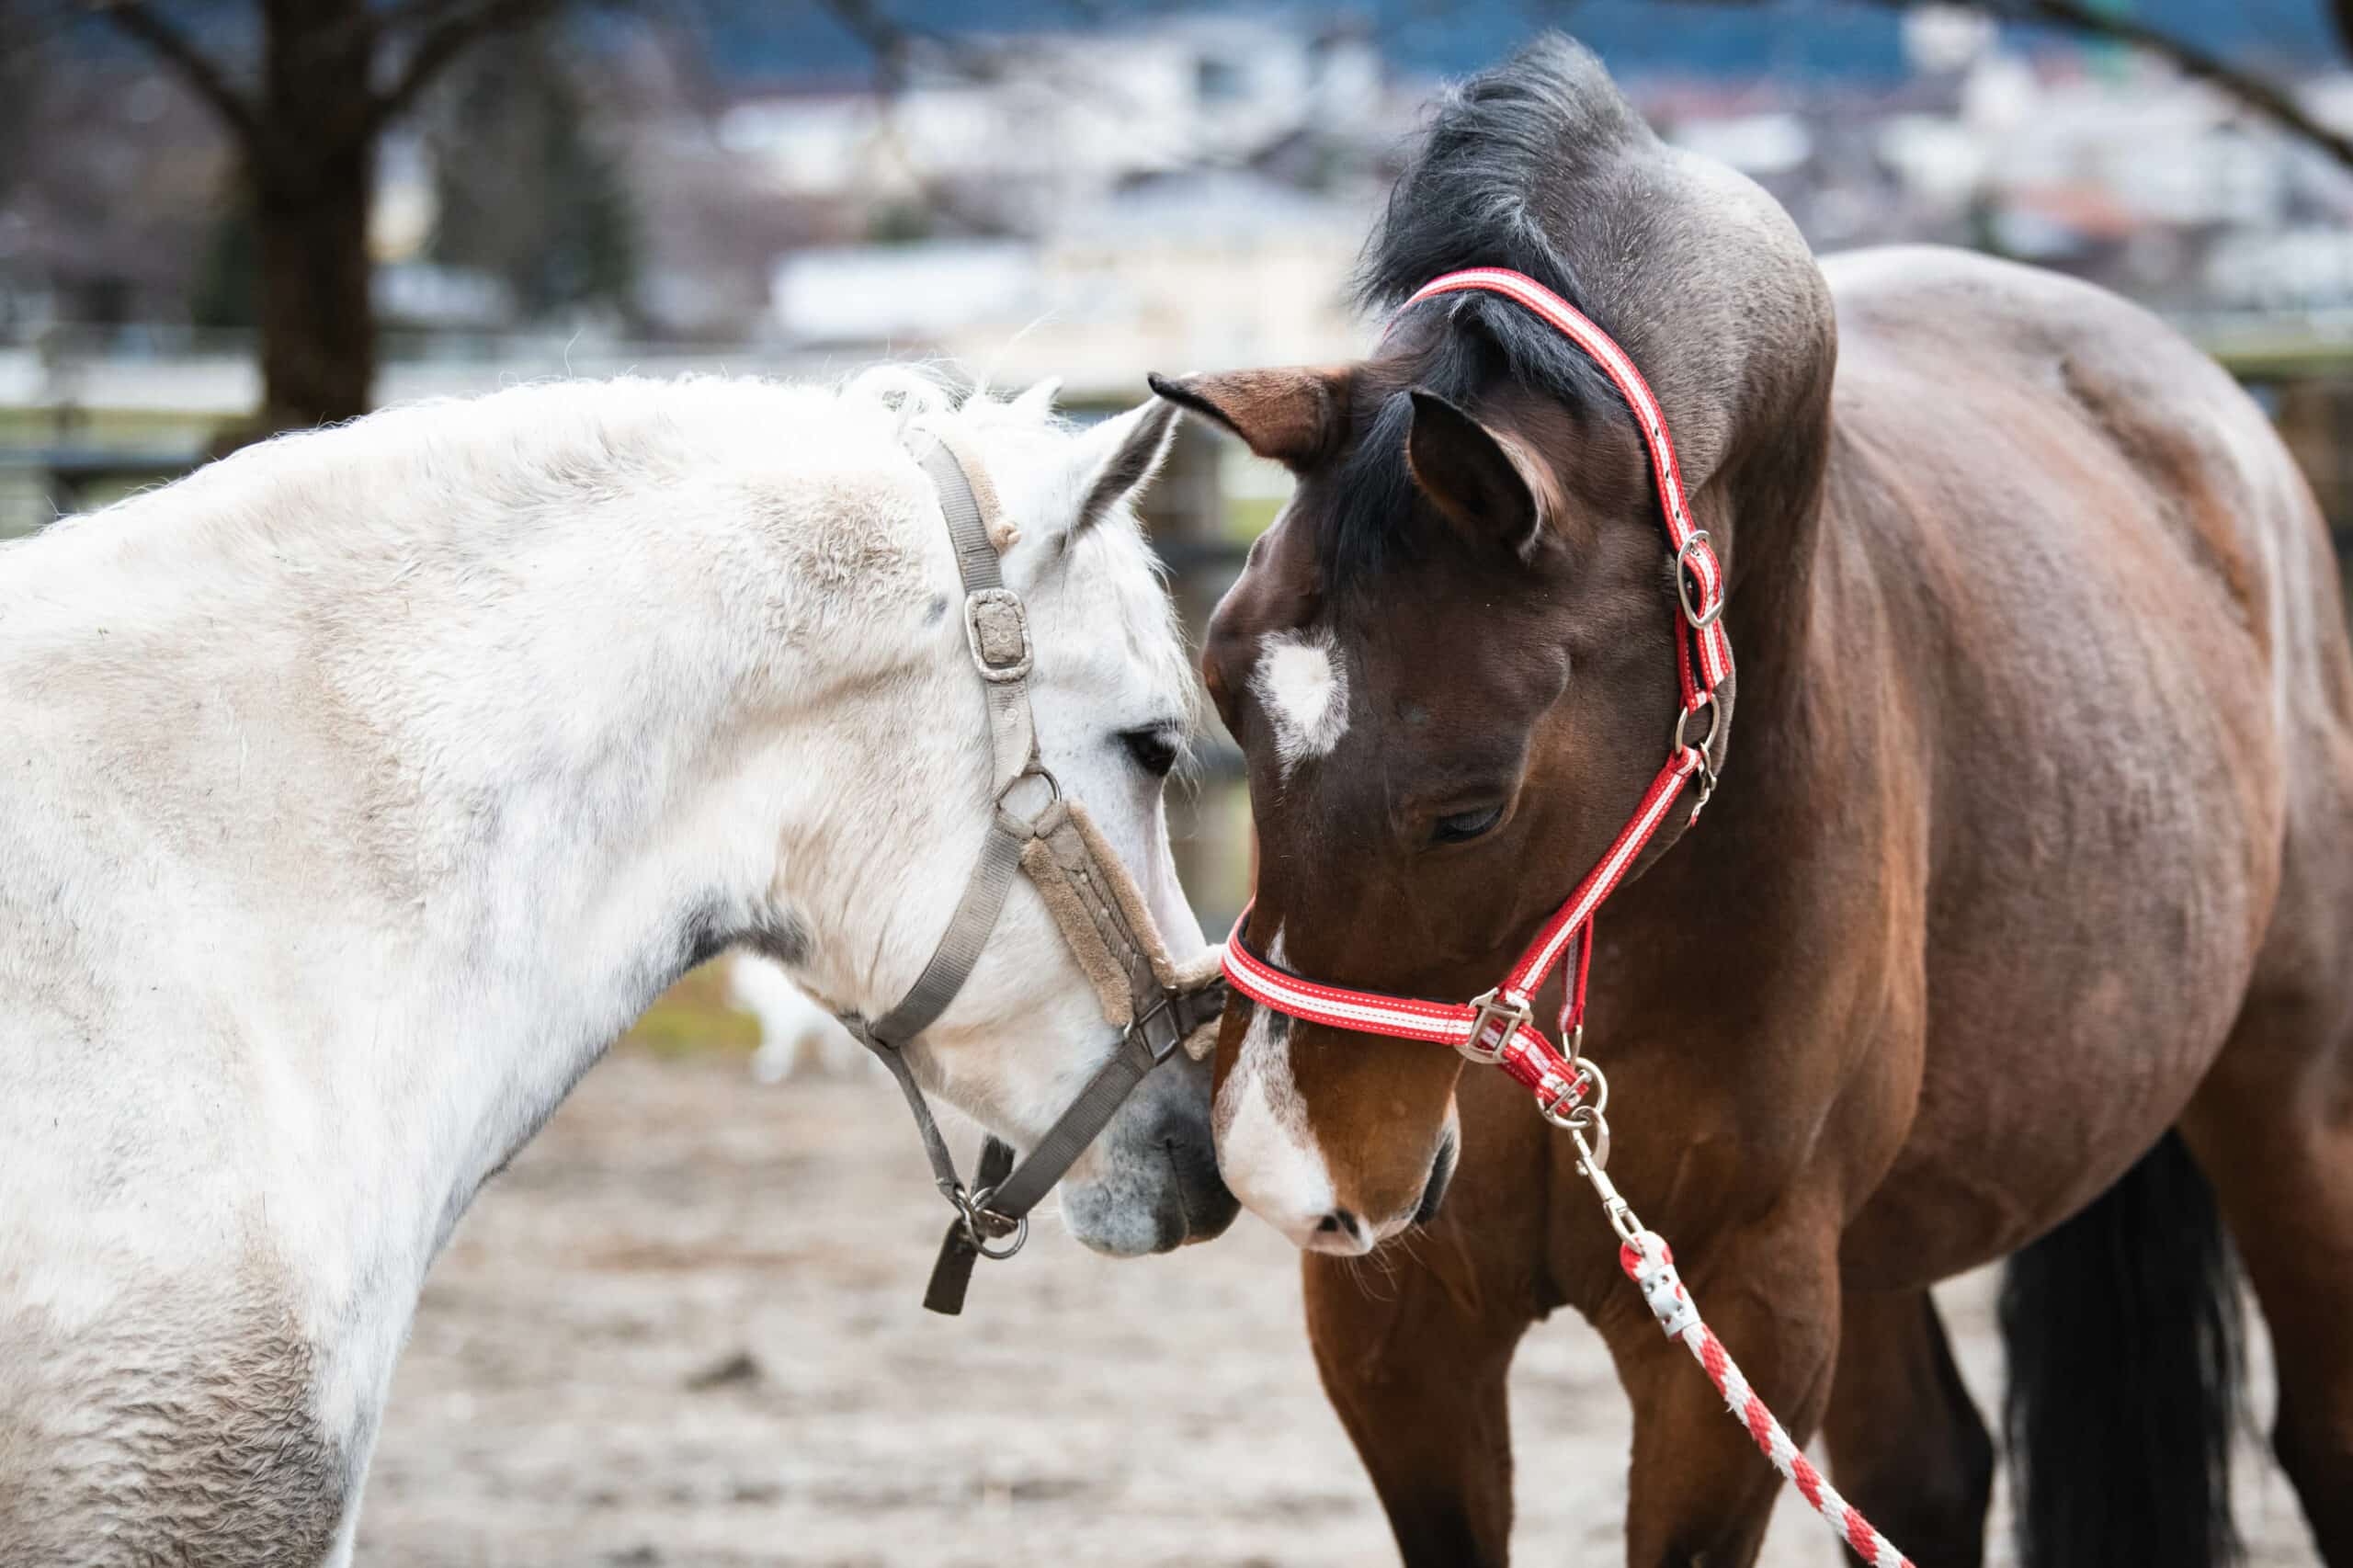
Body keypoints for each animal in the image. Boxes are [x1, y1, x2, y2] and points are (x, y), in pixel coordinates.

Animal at [1155, 37, 2353, 1568]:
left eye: (1473, 808)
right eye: (1227, 691)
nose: (1277, 1165)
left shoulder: (1738, 1310)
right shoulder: (1398, 1323)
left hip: (2288, 1095)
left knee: (2320, 1427)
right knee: (1927, 1468)